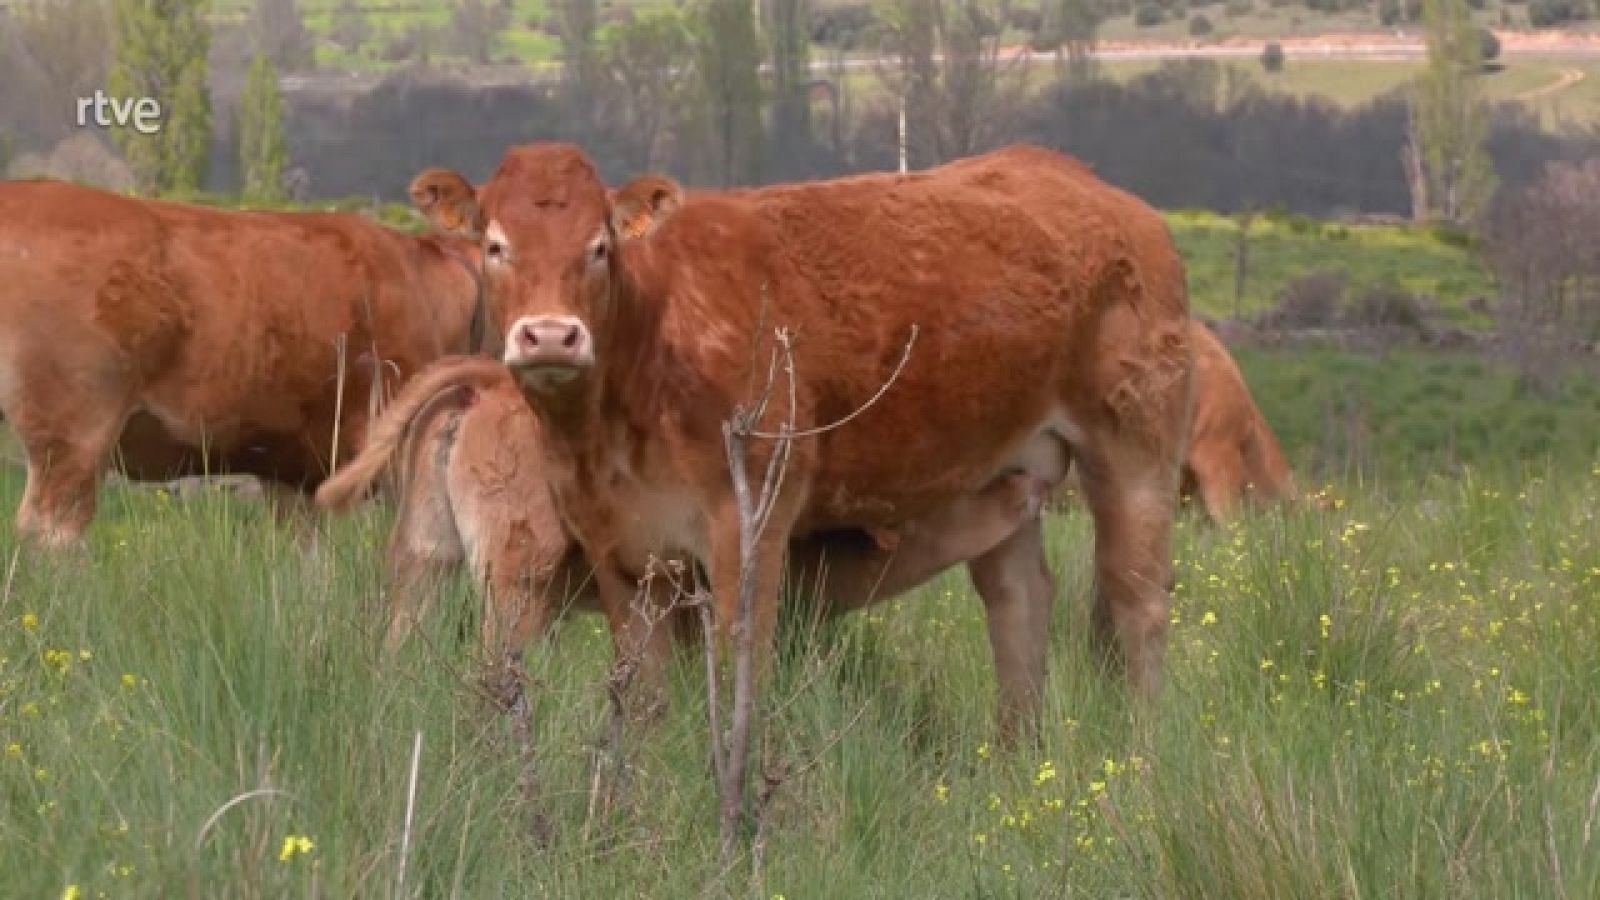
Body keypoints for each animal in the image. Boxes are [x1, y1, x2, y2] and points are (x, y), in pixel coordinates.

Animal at [402, 143, 1194, 740]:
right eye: (495, 245)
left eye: (600, 246)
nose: (550, 336)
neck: (655, 339)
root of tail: (1105, 196)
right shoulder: (623, 553)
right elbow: (645, 698)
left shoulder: (746, 528)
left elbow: (737, 667)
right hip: (1009, 473)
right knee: (1019, 605)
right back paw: (1014, 761)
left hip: (1136, 460)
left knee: (1137, 605)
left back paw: (1143, 756)